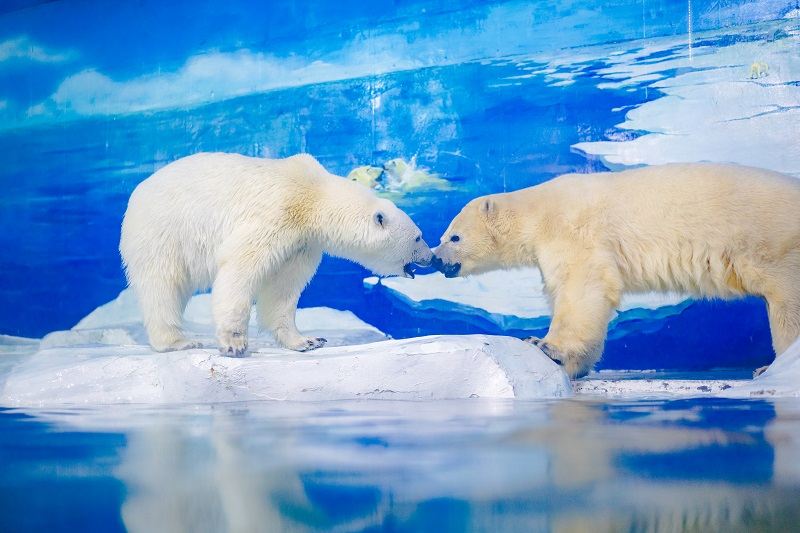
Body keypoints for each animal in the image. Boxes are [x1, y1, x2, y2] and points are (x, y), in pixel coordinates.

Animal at [120, 152, 432, 356]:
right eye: (418, 236)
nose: (430, 257)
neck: (313, 195)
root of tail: (138, 192)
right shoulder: (275, 213)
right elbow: (239, 268)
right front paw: (234, 343)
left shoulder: (302, 242)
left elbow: (283, 289)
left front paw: (307, 341)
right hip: (162, 233)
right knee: (162, 286)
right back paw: (177, 341)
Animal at [432, 163, 800, 378]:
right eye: (442, 237)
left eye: (453, 236)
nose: (435, 259)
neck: (538, 212)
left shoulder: (573, 232)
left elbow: (581, 288)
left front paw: (545, 345)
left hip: (772, 245)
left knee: (786, 303)